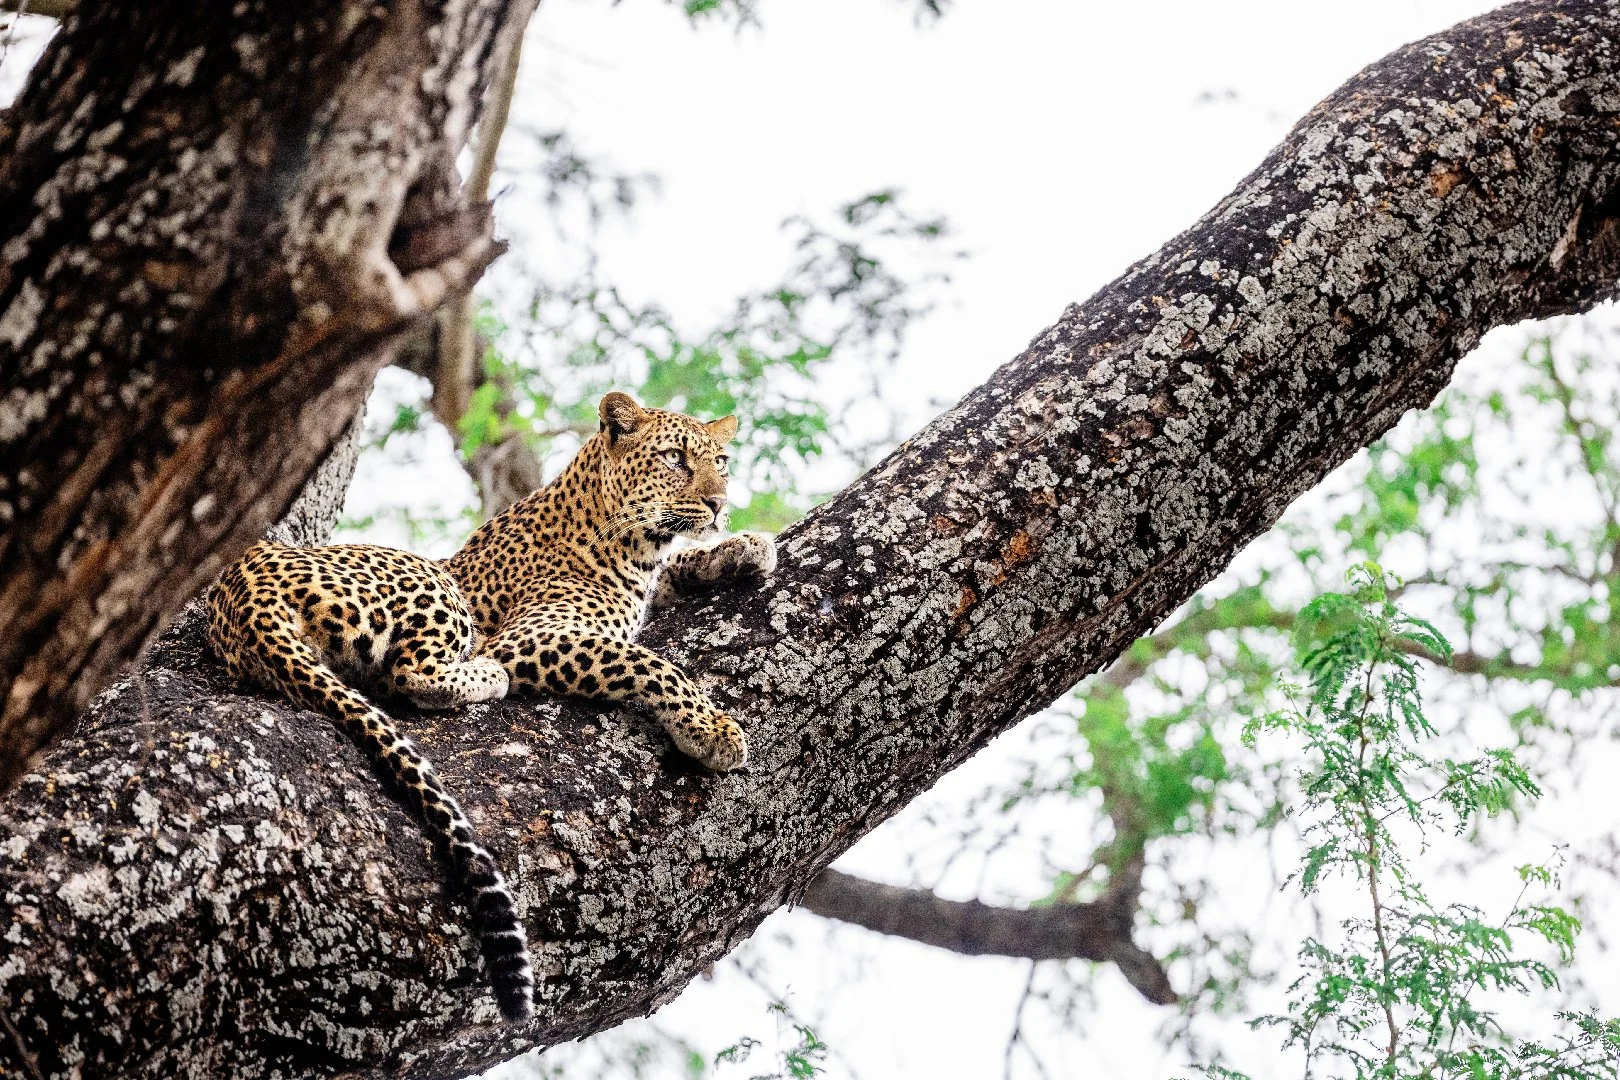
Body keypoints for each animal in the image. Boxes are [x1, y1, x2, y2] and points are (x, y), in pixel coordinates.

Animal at [205, 391, 777, 1023]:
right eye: (675, 458)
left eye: (720, 462)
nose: (719, 504)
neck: (630, 543)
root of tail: (241, 591)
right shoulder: (537, 636)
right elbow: (651, 663)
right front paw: (712, 728)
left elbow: (674, 577)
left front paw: (744, 548)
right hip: (429, 582)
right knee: (410, 674)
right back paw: (485, 675)